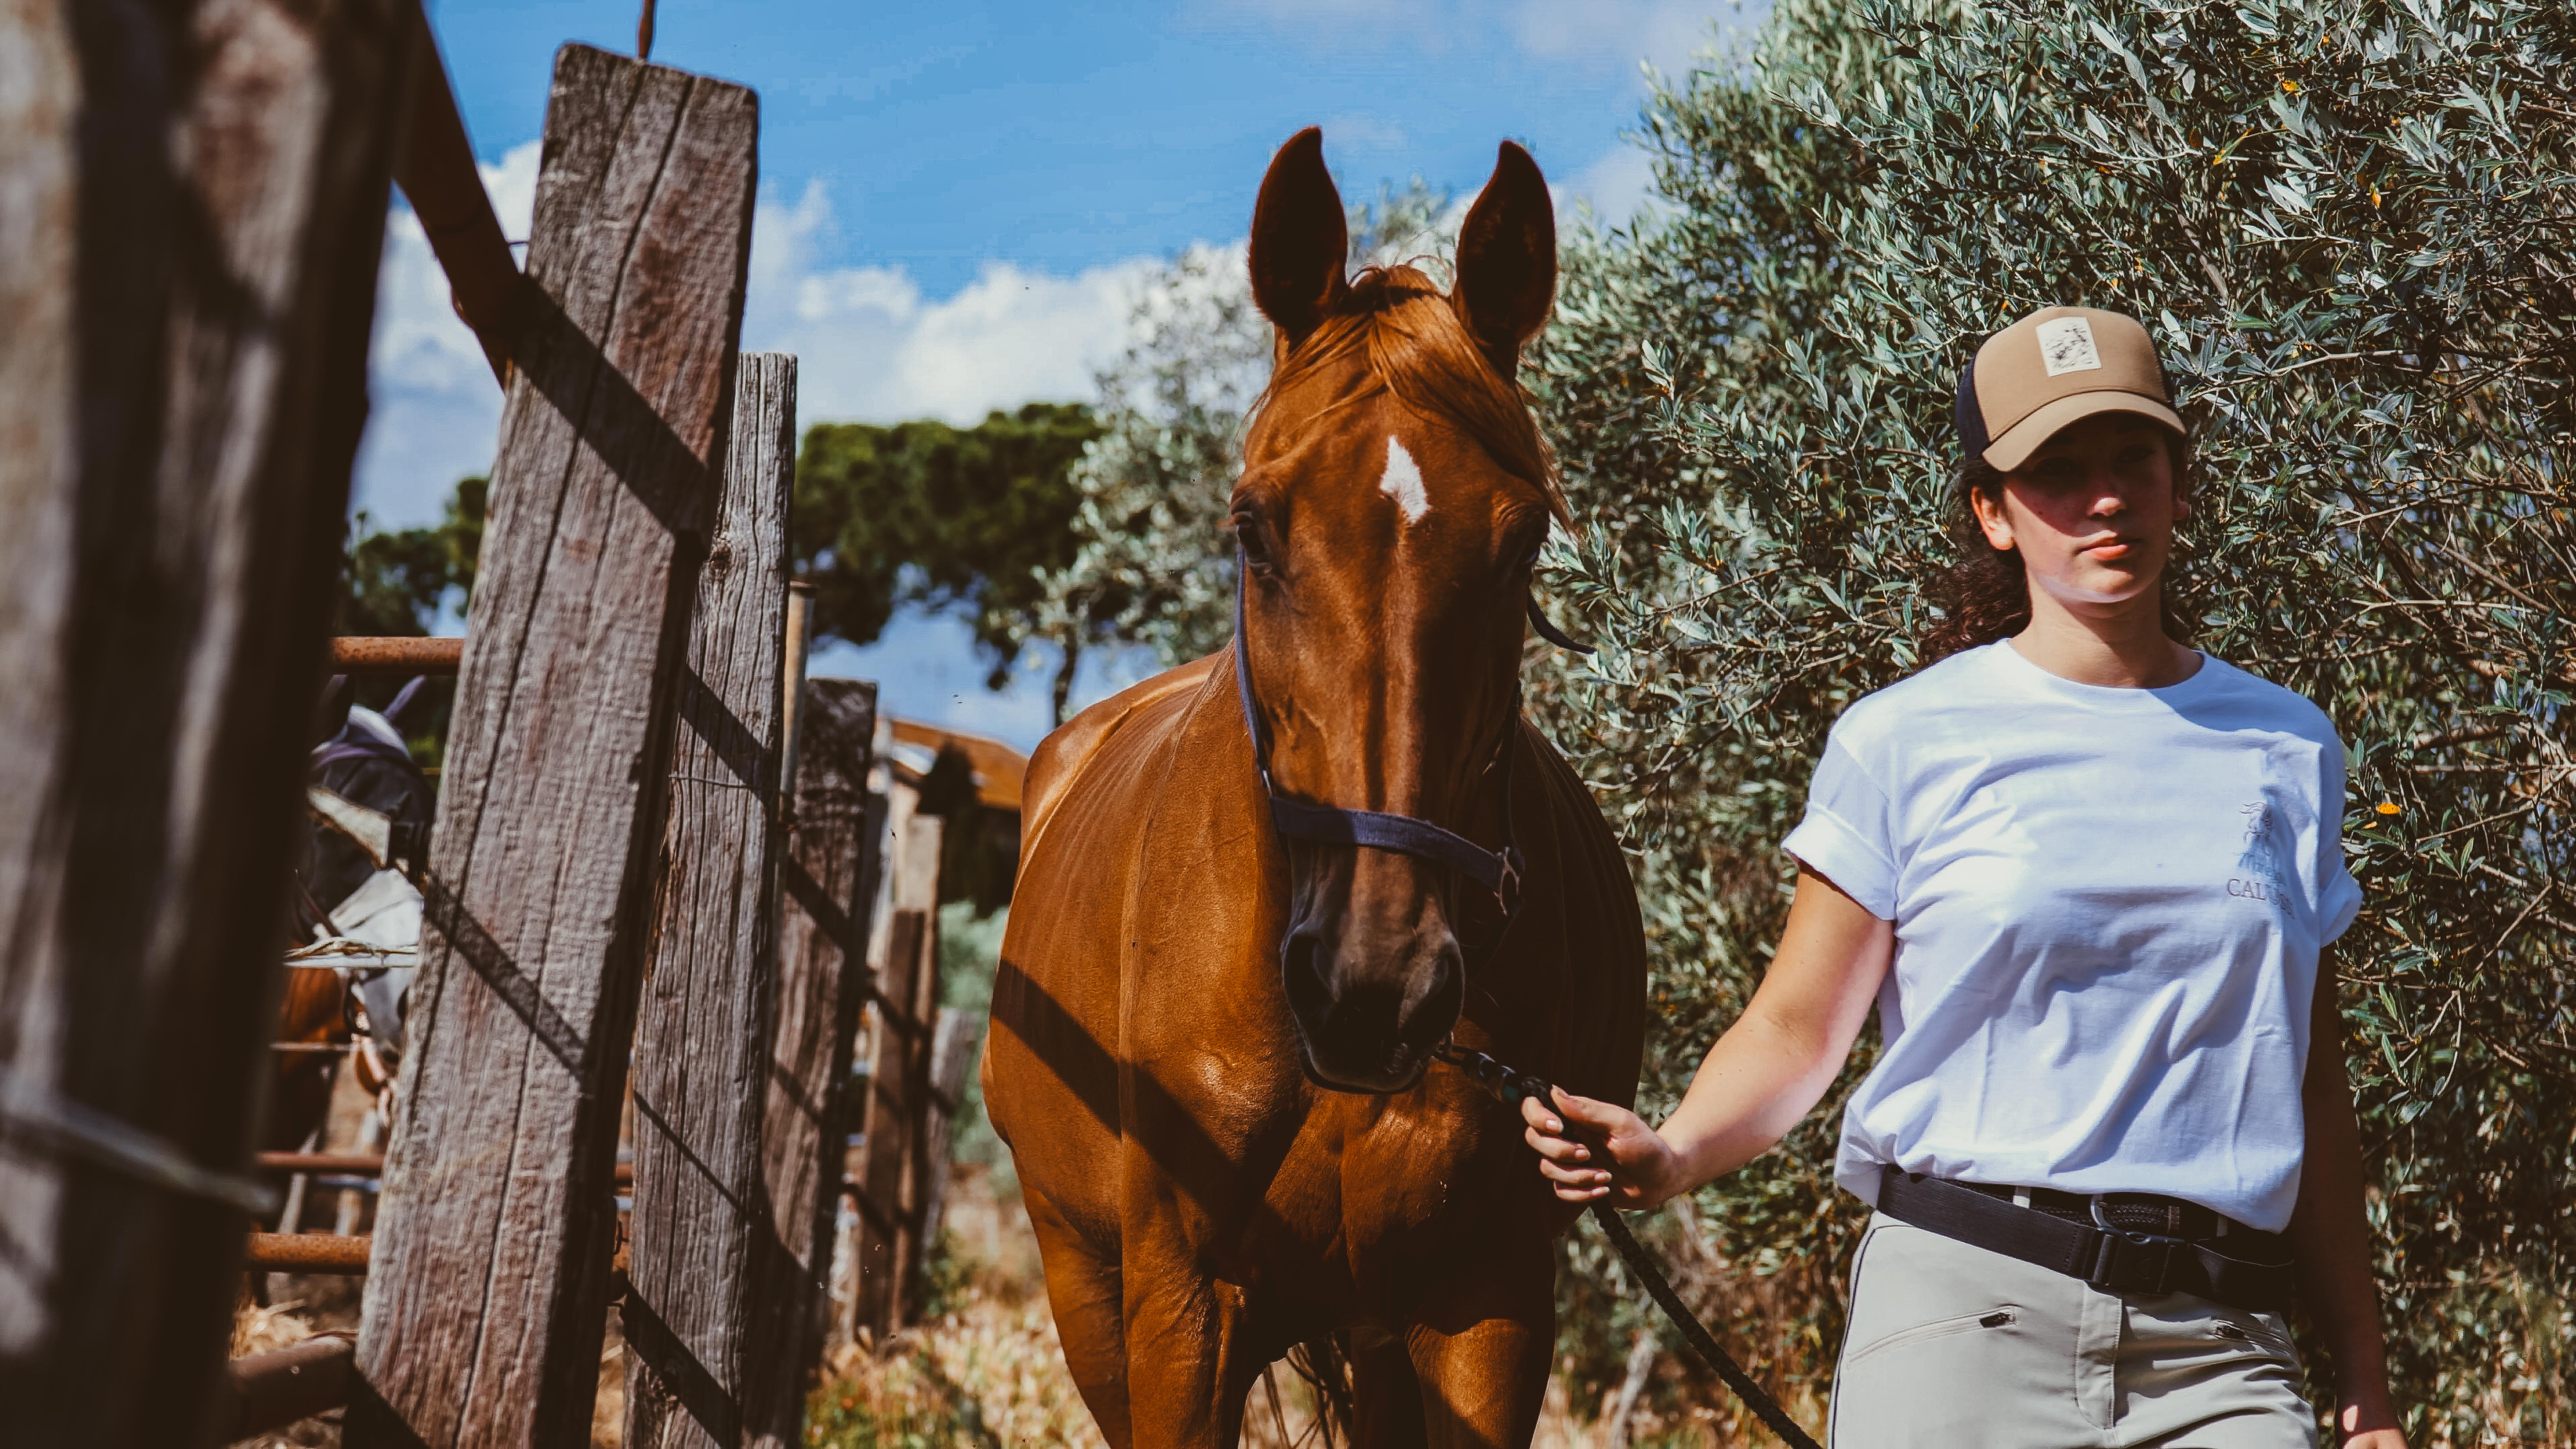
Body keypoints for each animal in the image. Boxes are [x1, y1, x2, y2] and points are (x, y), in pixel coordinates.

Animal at [982, 128, 1646, 1448]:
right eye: (1252, 527)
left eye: (1522, 541)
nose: (1371, 985)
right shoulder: (1181, 1310)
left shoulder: (1488, 1308)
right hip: (1087, 1288)